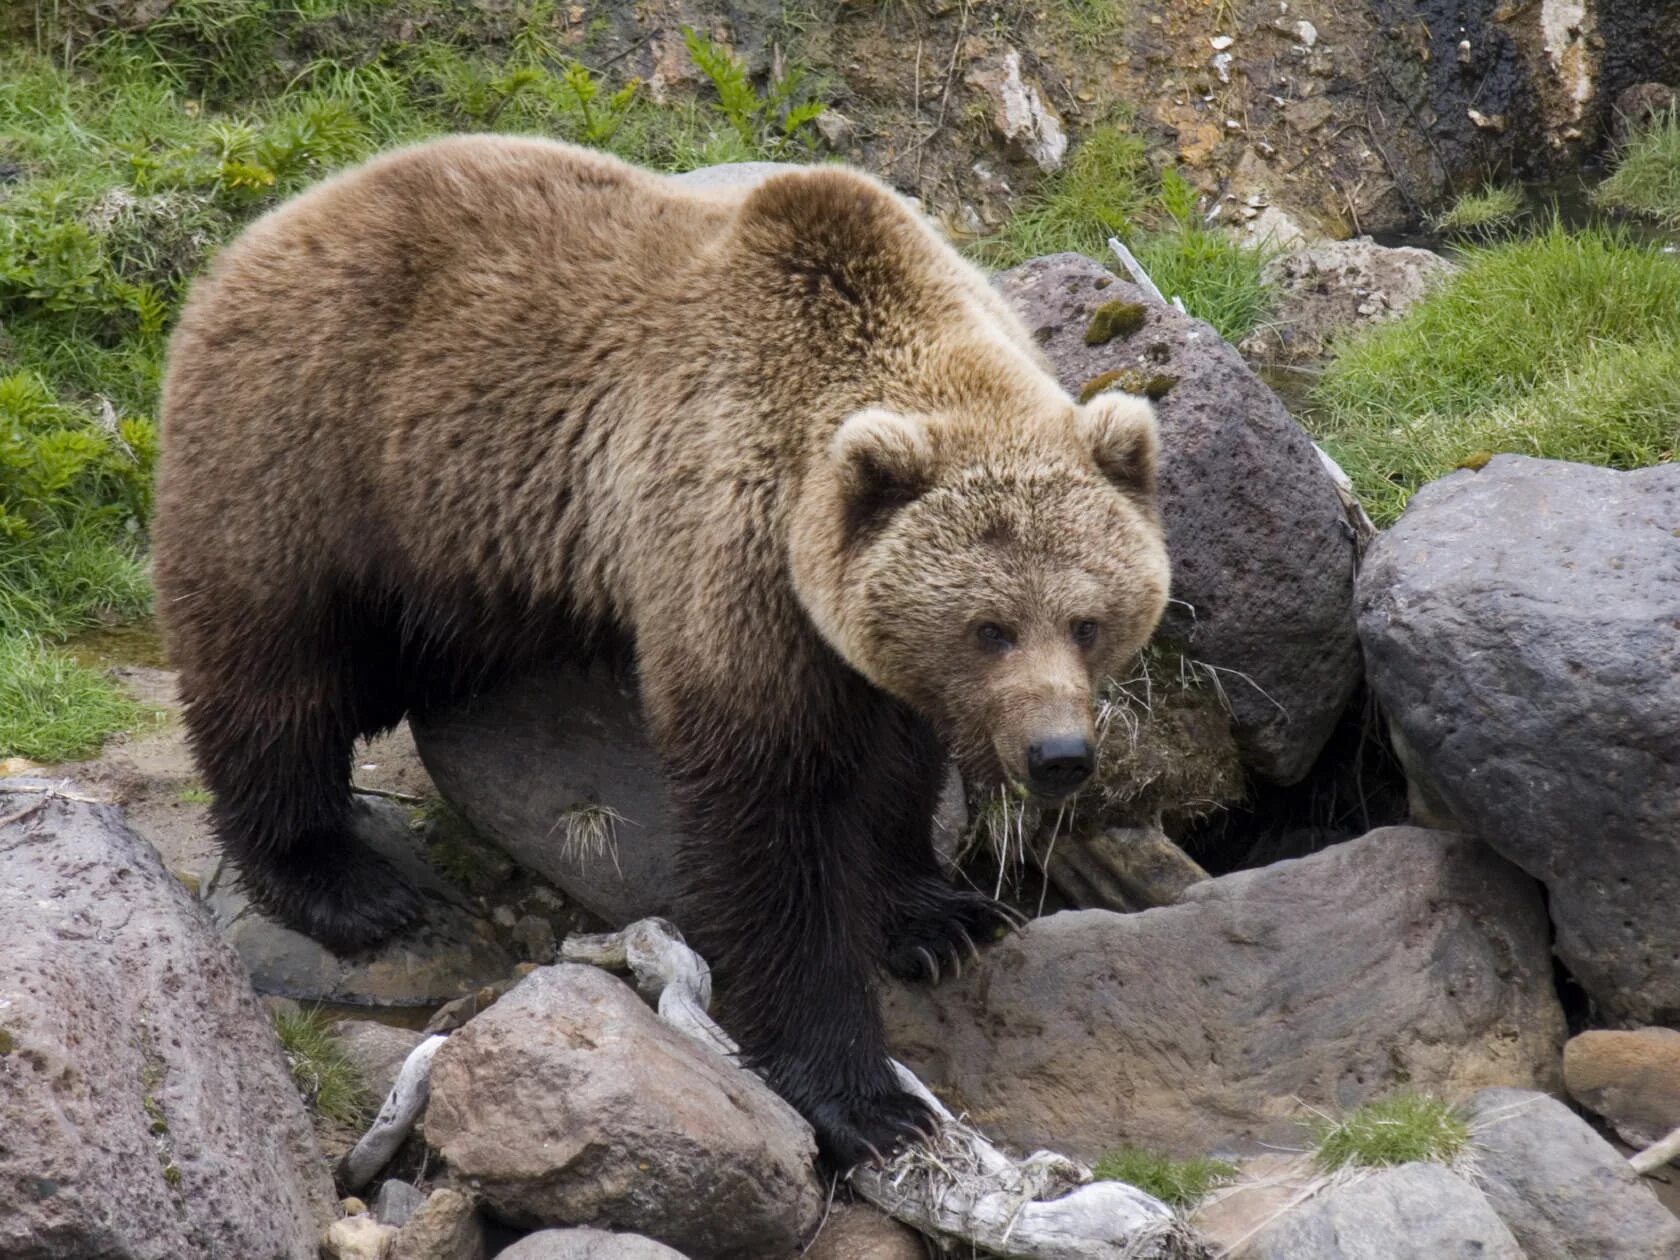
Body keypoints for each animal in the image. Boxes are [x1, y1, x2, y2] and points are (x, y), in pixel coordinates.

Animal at [154, 133, 1169, 1169]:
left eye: (1088, 621)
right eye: (989, 627)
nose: (1058, 755)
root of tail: (273, 222)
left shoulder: (854, 634)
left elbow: (893, 767)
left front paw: (940, 917)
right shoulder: (734, 549)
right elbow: (770, 825)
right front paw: (864, 1097)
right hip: (317, 449)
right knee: (277, 670)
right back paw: (339, 880)